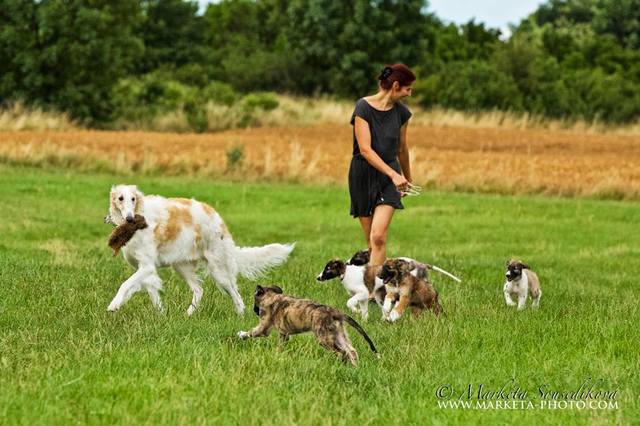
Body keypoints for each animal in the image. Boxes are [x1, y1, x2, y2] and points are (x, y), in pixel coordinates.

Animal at [105, 186, 296, 316]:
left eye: (133, 199)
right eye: (120, 198)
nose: (130, 218)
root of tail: (218, 218)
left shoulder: (147, 266)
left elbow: (125, 285)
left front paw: (113, 305)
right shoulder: (143, 268)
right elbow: (151, 291)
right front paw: (161, 314)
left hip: (218, 271)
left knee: (236, 294)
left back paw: (240, 316)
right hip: (182, 266)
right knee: (199, 290)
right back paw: (187, 315)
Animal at [240, 284, 380, 364]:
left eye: (254, 301)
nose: (254, 311)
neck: (271, 296)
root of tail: (335, 311)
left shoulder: (264, 327)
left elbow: (252, 332)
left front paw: (241, 334)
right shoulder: (283, 334)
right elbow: (281, 346)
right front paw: (279, 355)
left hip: (323, 337)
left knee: (342, 352)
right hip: (338, 334)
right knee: (351, 351)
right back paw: (354, 368)